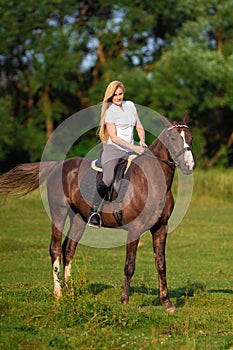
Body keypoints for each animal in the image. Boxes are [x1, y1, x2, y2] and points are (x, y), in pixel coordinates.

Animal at [0, 114, 194, 312]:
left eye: (190, 138)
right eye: (173, 139)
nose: (189, 165)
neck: (153, 181)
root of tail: (58, 165)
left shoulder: (160, 229)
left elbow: (161, 265)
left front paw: (167, 303)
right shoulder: (135, 229)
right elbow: (129, 265)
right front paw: (124, 300)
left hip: (79, 218)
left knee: (68, 250)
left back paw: (70, 292)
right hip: (58, 213)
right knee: (55, 249)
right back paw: (58, 293)